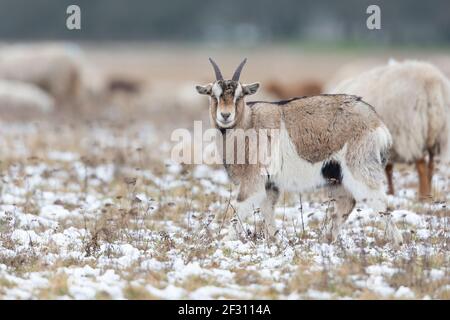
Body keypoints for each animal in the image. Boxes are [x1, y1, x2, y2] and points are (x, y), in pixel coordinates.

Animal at [195, 58, 402, 246]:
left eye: (239, 95)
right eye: (213, 95)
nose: (225, 116)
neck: (248, 122)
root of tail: (376, 121)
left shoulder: (253, 180)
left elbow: (239, 209)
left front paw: (223, 243)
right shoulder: (270, 184)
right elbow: (267, 211)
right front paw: (274, 241)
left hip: (360, 168)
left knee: (379, 202)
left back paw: (396, 243)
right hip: (337, 177)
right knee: (346, 204)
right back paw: (328, 240)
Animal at [330, 60, 450, 199]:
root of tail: (431, 83)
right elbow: (388, 169)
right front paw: (391, 192)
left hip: (411, 133)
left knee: (421, 166)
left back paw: (423, 196)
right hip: (438, 135)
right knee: (431, 166)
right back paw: (429, 194)